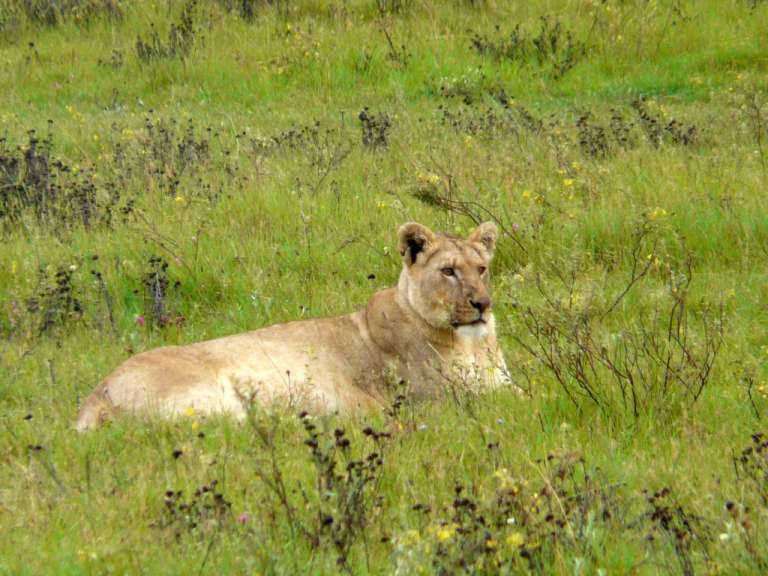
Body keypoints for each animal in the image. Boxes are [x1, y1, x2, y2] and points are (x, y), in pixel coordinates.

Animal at [76, 221, 510, 431]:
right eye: (448, 271)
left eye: (481, 269)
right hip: (211, 399)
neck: (472, 344)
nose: (482, 304)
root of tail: (95, 396)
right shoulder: (444, 399)